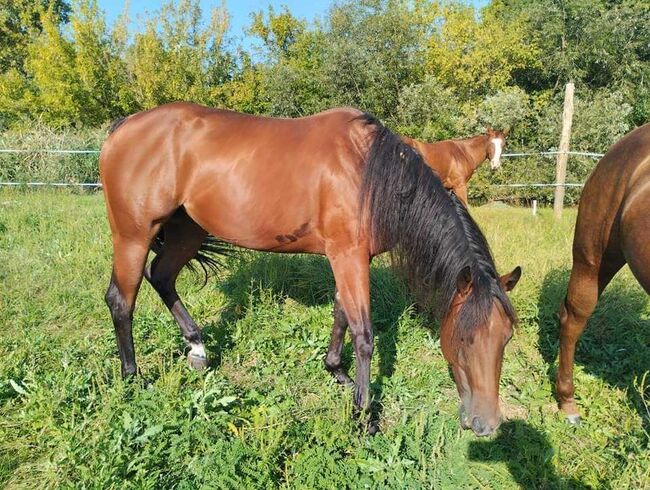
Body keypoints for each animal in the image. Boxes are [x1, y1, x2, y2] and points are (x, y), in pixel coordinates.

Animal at [98, 103, 520, 436]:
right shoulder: (347, 255)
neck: (371, 174)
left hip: (188, 230)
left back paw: (197, 348)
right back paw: (132, 378)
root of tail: (124, 126)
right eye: (464, 338)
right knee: (121, 300)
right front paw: (363, 415)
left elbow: (342, 315)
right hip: (134, 236)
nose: (486, 425)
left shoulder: (351, 258)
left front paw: (337, 373)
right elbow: (364, 334)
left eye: (506, 339)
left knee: (162, 276)